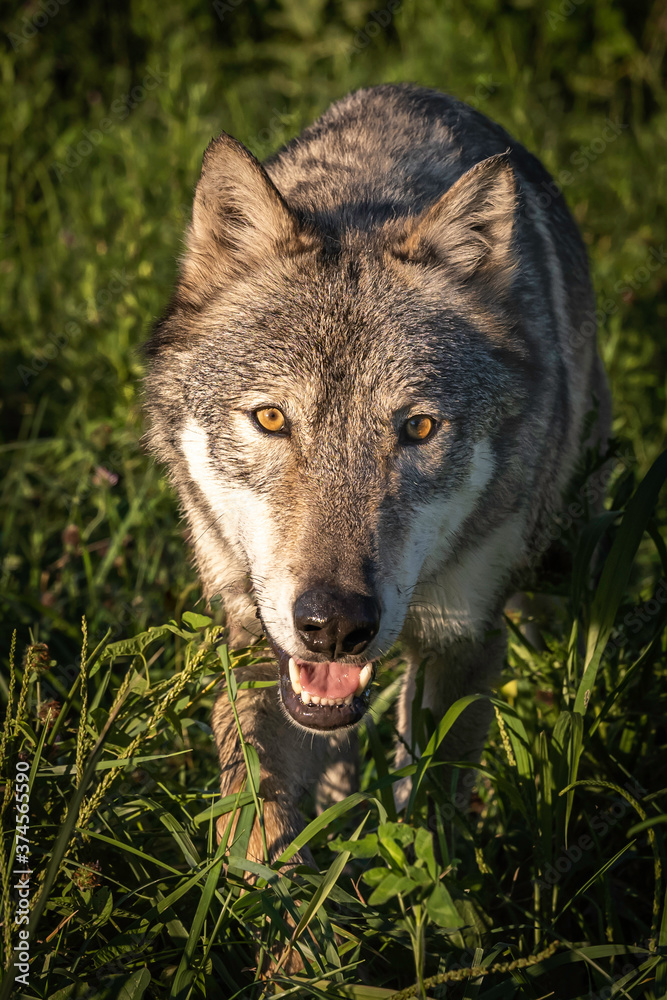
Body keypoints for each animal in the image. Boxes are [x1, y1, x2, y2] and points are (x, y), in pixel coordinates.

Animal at [145, 83, 610, 864]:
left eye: (417, 429)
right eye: (271, 419)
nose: (335, 626)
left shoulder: (463, 638)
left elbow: (433, 814)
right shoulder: (251, 637)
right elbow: (259, 825)